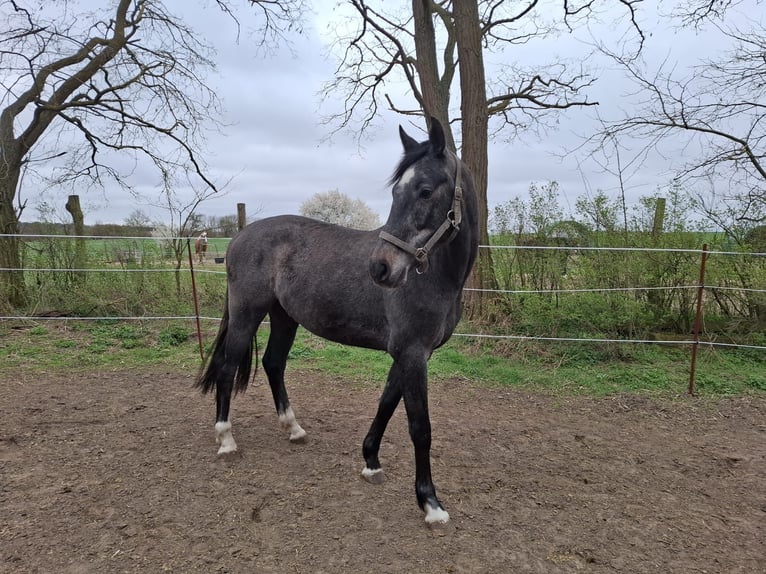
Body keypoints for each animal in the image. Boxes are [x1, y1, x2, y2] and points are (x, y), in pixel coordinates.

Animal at [196, 117, 478, 524]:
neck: (437, 275)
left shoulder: (411, 354)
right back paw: (226, 439)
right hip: (247, 313)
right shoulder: (411, 353)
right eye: (396, 192)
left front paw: (371, 462)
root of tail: (238, 238)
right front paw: (430, 502)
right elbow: (419, 427)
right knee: (229, 367)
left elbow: (386, 404)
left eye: (425, 191)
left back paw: (293, 428)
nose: (381, 268)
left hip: (284, 317)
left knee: (273, 363)